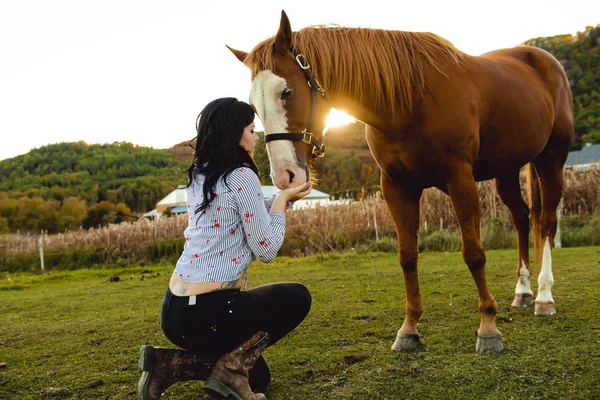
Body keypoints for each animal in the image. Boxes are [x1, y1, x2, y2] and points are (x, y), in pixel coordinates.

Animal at [227, 10, 576, 354]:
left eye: (286, 91)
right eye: (254, 106)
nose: (285, 176)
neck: (410, 101)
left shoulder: (460, 180)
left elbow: (474, 254)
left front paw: (488, 327)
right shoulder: (396, 187)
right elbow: (407, 256)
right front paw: (409, 329)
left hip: (552, 160)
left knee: (546, 222)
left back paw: (544, 296)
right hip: (506, 171)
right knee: (522, 219)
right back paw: (523, 290)